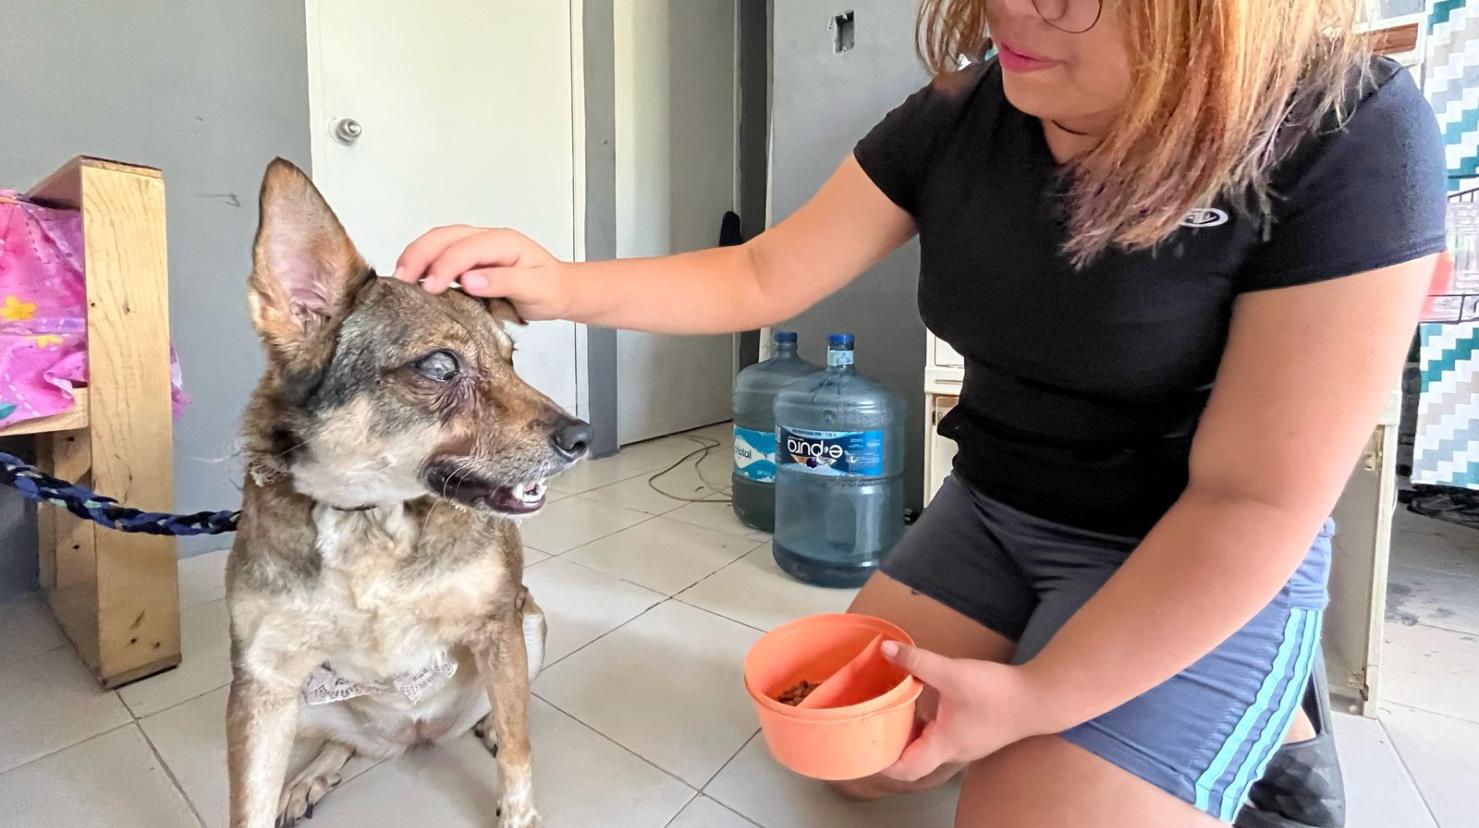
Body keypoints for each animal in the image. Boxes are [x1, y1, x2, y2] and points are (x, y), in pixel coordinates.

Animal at [224, 158, 582, 822]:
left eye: (511, 358)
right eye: (440, 366)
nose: (584, 436)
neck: (368, 517)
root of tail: (414, 735)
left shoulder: (498, 624)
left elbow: (520, 746)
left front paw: (518, 810)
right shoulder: (261, 681)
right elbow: (246, 806)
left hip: (530, 624)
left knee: (505, 713)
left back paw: (485, 726)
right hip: (306, 706)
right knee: (345, 744)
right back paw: (311, 776)